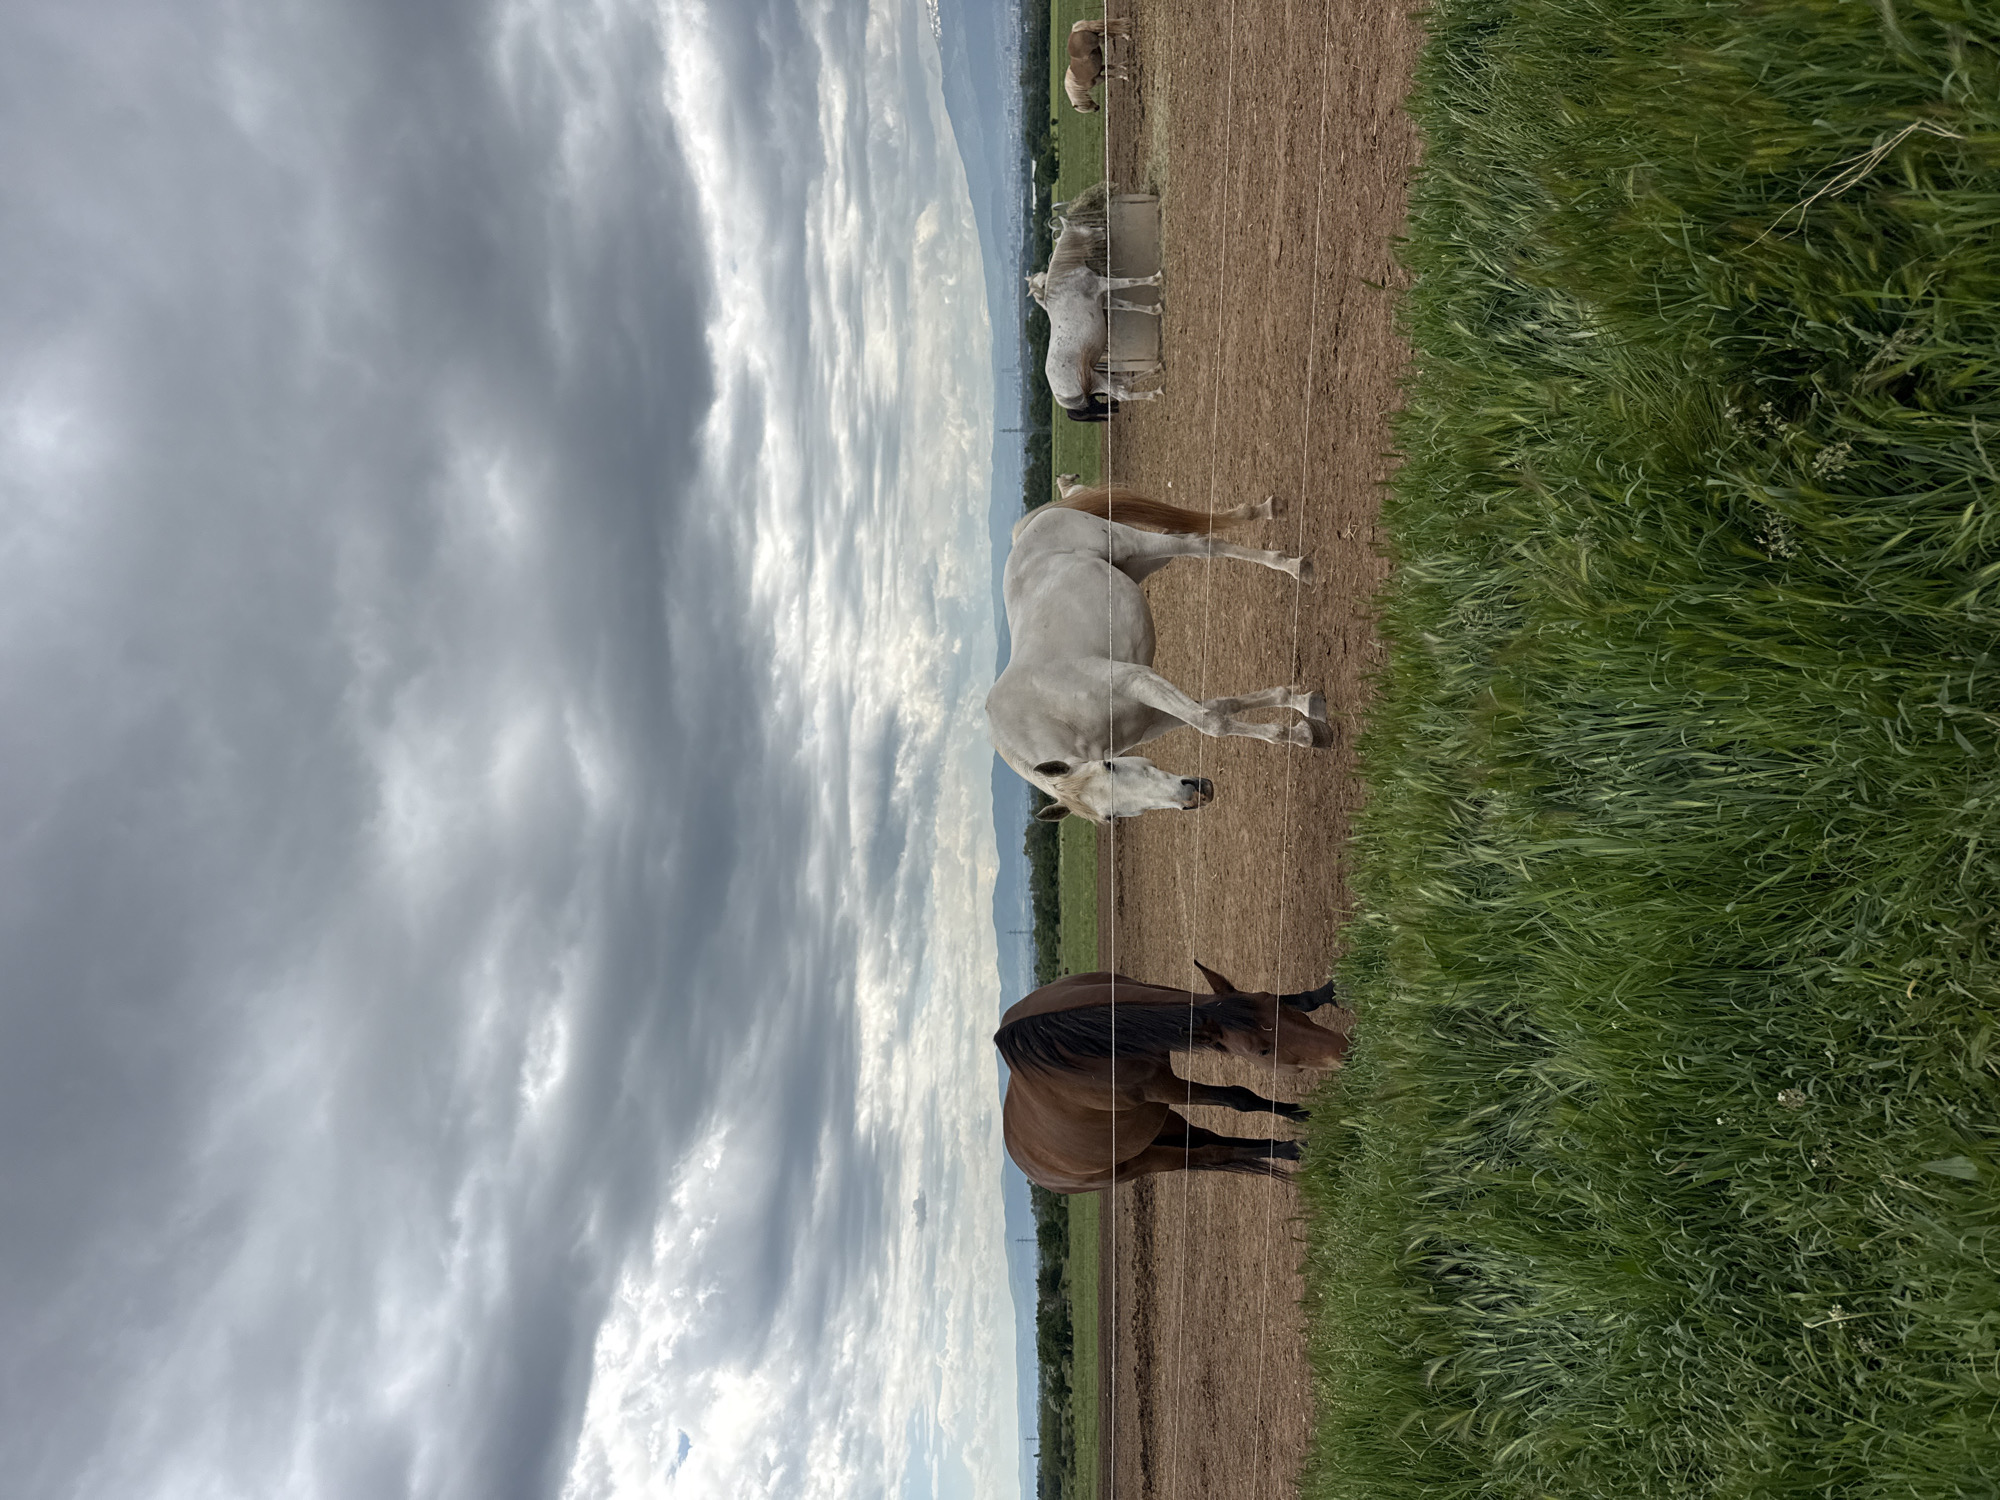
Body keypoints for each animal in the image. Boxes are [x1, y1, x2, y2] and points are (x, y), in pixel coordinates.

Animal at [985, 484, 1334, 822]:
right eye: (1111, 816)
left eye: (1110, 766)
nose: (1195, 794)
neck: (1057, 711)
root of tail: (1031, 527)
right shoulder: (1154, 717)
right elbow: (1224, 706)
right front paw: (1303, 711)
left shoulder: (1139, 681)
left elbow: (1211, 722)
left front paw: (1301, 730)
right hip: (1139, 563)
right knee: (1187, 537)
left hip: (1132, 544)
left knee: (1201, 545)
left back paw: (1297, 566)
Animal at [995, 962, 1353, 1194]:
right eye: (1263, 1051)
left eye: (1278, 1004)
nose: (1344, 1050)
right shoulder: (1163, 1088)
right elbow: (1240, 1097)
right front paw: (1300, 1114)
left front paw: (1332, 990)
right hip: (1152, 1159)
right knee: (1215, 1152)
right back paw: (1294, 1149)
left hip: (1163, 1126)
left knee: (1213, 1139)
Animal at [1028, 184, 1162, 423]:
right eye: (1083, 226)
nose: (1101, 229)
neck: (1066, 278)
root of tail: (1061, 397)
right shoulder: (1102, 284)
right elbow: (1129, 282)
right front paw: (1157, 278)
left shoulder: (1104, 299)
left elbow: (1128, 304)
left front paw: (1155, 308)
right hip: (1097, 379)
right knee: (1122, 393)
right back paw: (1155, 392)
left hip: (1096, 376)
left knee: (1123, 383)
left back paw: (1156, 370)